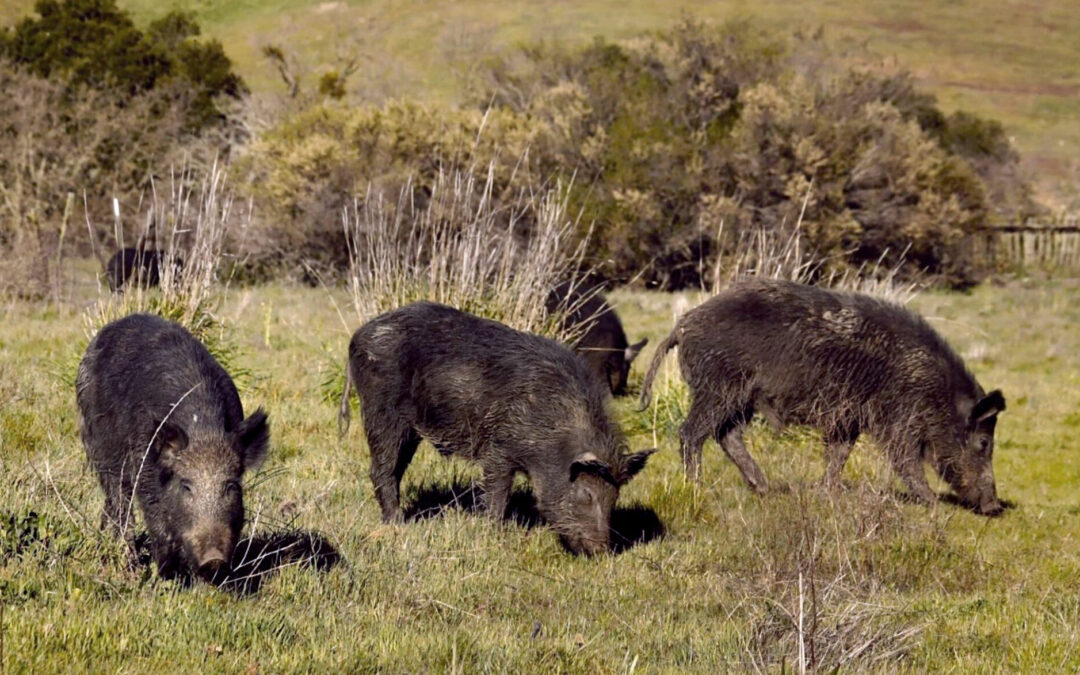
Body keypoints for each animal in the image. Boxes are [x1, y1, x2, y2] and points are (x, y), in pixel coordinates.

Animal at [77, 313, 270, 581]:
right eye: (186, 486)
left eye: (230, 486)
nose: (214, 559)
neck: (204, 429)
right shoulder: (144, 465)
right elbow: (157, 521)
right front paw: (169, 577)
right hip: (97, 445)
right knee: (119, 499)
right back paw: (128, 565)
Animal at [338, 301, 653, 555]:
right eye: (586, 495)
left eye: (614, 497)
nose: (602, 551)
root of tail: (358, 335)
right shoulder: (498, 450)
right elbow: (497, 495)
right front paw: (493, 534)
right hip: (381, 413)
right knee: (381, 469)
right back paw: (397, 524)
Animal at [638, 278, 1007, 515]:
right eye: (984, 443)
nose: (993, 507)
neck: (935, 390)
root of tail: (683, 325)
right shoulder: (898, 418)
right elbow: (905, 459)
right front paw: (933, 504)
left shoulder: (848, 418)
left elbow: (839, 454)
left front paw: (828, 493)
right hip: (717, 389)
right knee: (691, 432)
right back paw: (696, 488)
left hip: (742, 398)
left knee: (727, 435)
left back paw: (764, 488)